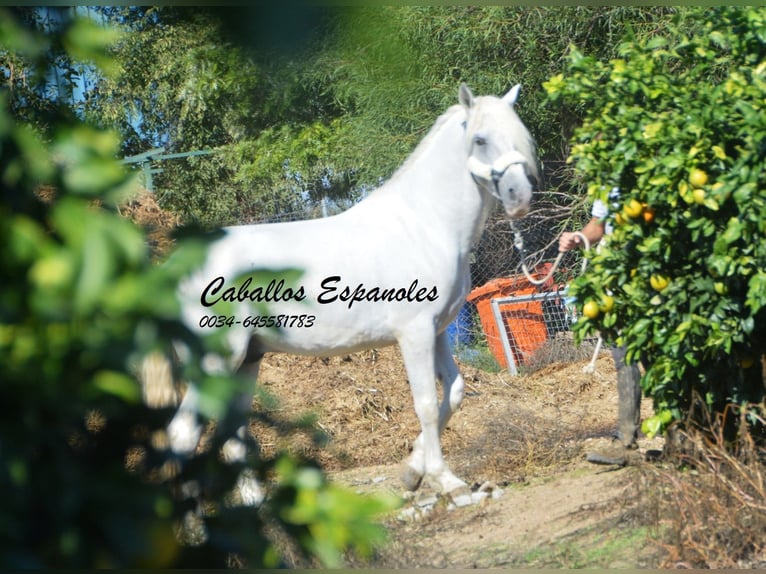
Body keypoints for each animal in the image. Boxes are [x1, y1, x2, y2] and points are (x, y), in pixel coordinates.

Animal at [147, 82, 536, 504]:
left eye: (520, 134)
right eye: (480, 139)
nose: (519, 195)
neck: (425, 225)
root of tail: (175, 266)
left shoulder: (436, 332)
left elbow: (455, 391)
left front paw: (411, 474)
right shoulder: (414, 332)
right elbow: (427, 405)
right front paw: (447, 482)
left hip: (247, 361)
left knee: (232, 435)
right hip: (216, 362)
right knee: (183, 434)